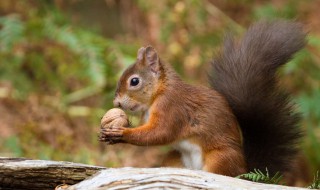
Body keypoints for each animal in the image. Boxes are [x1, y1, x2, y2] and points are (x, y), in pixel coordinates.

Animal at [100, 21, 304, 180]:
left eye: (134, 81)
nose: (117, 103)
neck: (158, 94)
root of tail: (245, 171)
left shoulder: (173, 107)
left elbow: (161, 132)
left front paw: (121, 133)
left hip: (220, 158)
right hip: (176, 158)